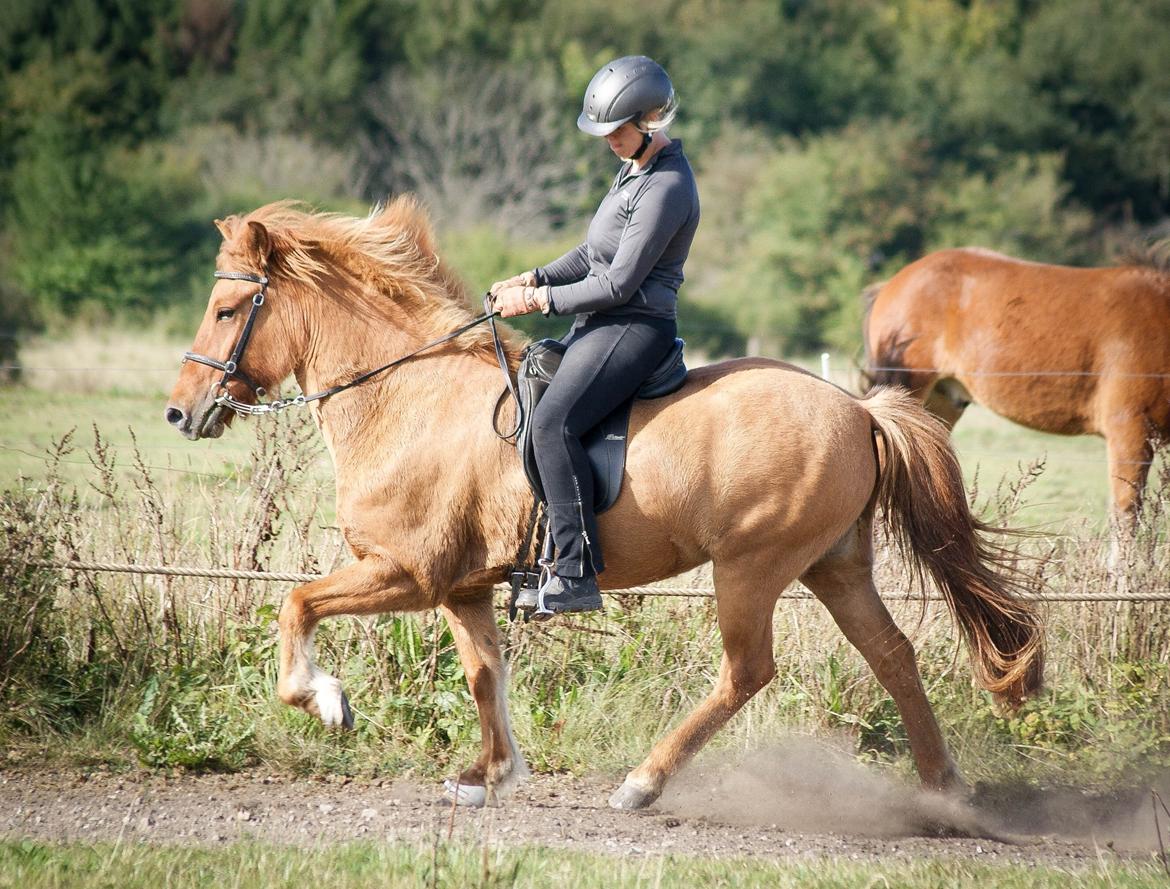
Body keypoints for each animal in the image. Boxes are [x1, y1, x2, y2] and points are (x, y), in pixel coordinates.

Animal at [167, 201, 1043, 814]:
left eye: (225, 310)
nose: (181, 413)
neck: (407, 396)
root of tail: (859, 409)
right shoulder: (463, 585)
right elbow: (484, 673)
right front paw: (489, 774)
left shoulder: (405, 571)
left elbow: (295, 604)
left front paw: (326, 700)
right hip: (835, 564)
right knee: (892, 654)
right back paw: (944, 791)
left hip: (753, 566)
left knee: (747, 670)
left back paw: (642, 783)